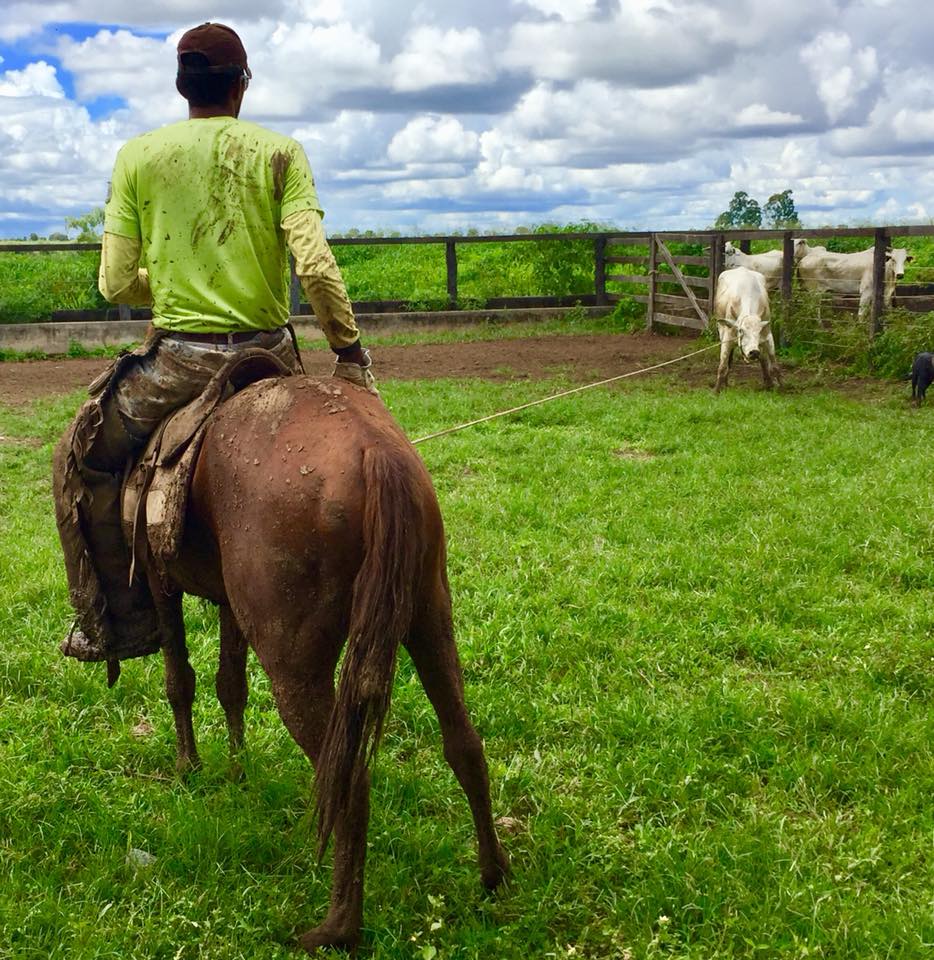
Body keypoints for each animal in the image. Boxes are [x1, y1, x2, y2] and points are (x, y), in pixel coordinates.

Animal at [145, 372, 508, 948]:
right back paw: (493, 875)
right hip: (430, 619)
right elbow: (230, 683)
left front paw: (191, 768)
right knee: (465, 743)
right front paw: (237, 768)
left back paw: (338, 927)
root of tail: (377, 452)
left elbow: (180, 678)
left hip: (297, 670)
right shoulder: (228, 602)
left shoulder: (160, 582)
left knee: (348, 780)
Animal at [716, 266, 784, 394]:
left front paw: (782, 388)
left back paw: (768, 383)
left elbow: (774, 366)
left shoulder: (767, 336)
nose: (754, 352)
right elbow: (722, 366)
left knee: (763, 360)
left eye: (759, 331)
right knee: (728, 362)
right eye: (741, 331)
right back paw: (725, 383)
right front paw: (716, 391)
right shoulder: (727, 338)